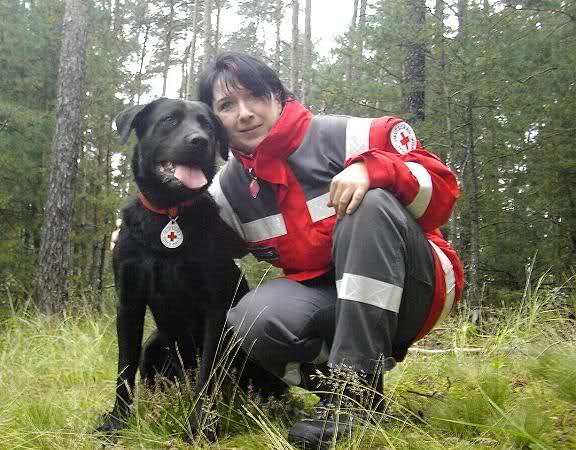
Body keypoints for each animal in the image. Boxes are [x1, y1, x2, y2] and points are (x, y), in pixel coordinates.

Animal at [98, 97, 284, 440]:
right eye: (170, 120)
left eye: (208, 126)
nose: (201, 142)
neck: (169, 215)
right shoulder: (128, 302)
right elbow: (124, 368)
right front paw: (116, 423)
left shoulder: (216, 307)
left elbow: (206, 374)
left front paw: (201, 427)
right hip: (154, 345)